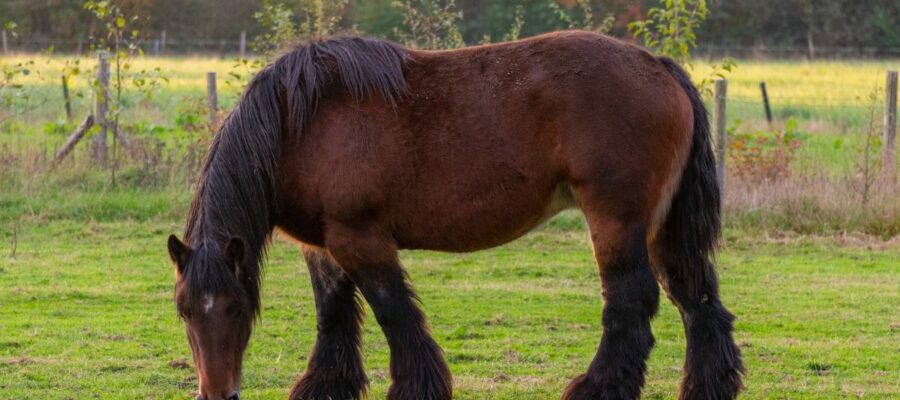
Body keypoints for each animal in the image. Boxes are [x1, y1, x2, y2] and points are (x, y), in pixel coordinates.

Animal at [166, 30, 744, 400]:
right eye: (184, 312)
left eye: (236, 310)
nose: (218, 394)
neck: (298, 125)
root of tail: (659, 66)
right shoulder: (322, 247)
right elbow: (334, 315)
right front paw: (324, 389)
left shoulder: (361, 240)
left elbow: (393, 312)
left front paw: (416, 388)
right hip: (661, 228)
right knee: (697, 300)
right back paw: (707, 387)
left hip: (616, 221)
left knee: (630, 303)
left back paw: (597, 389)